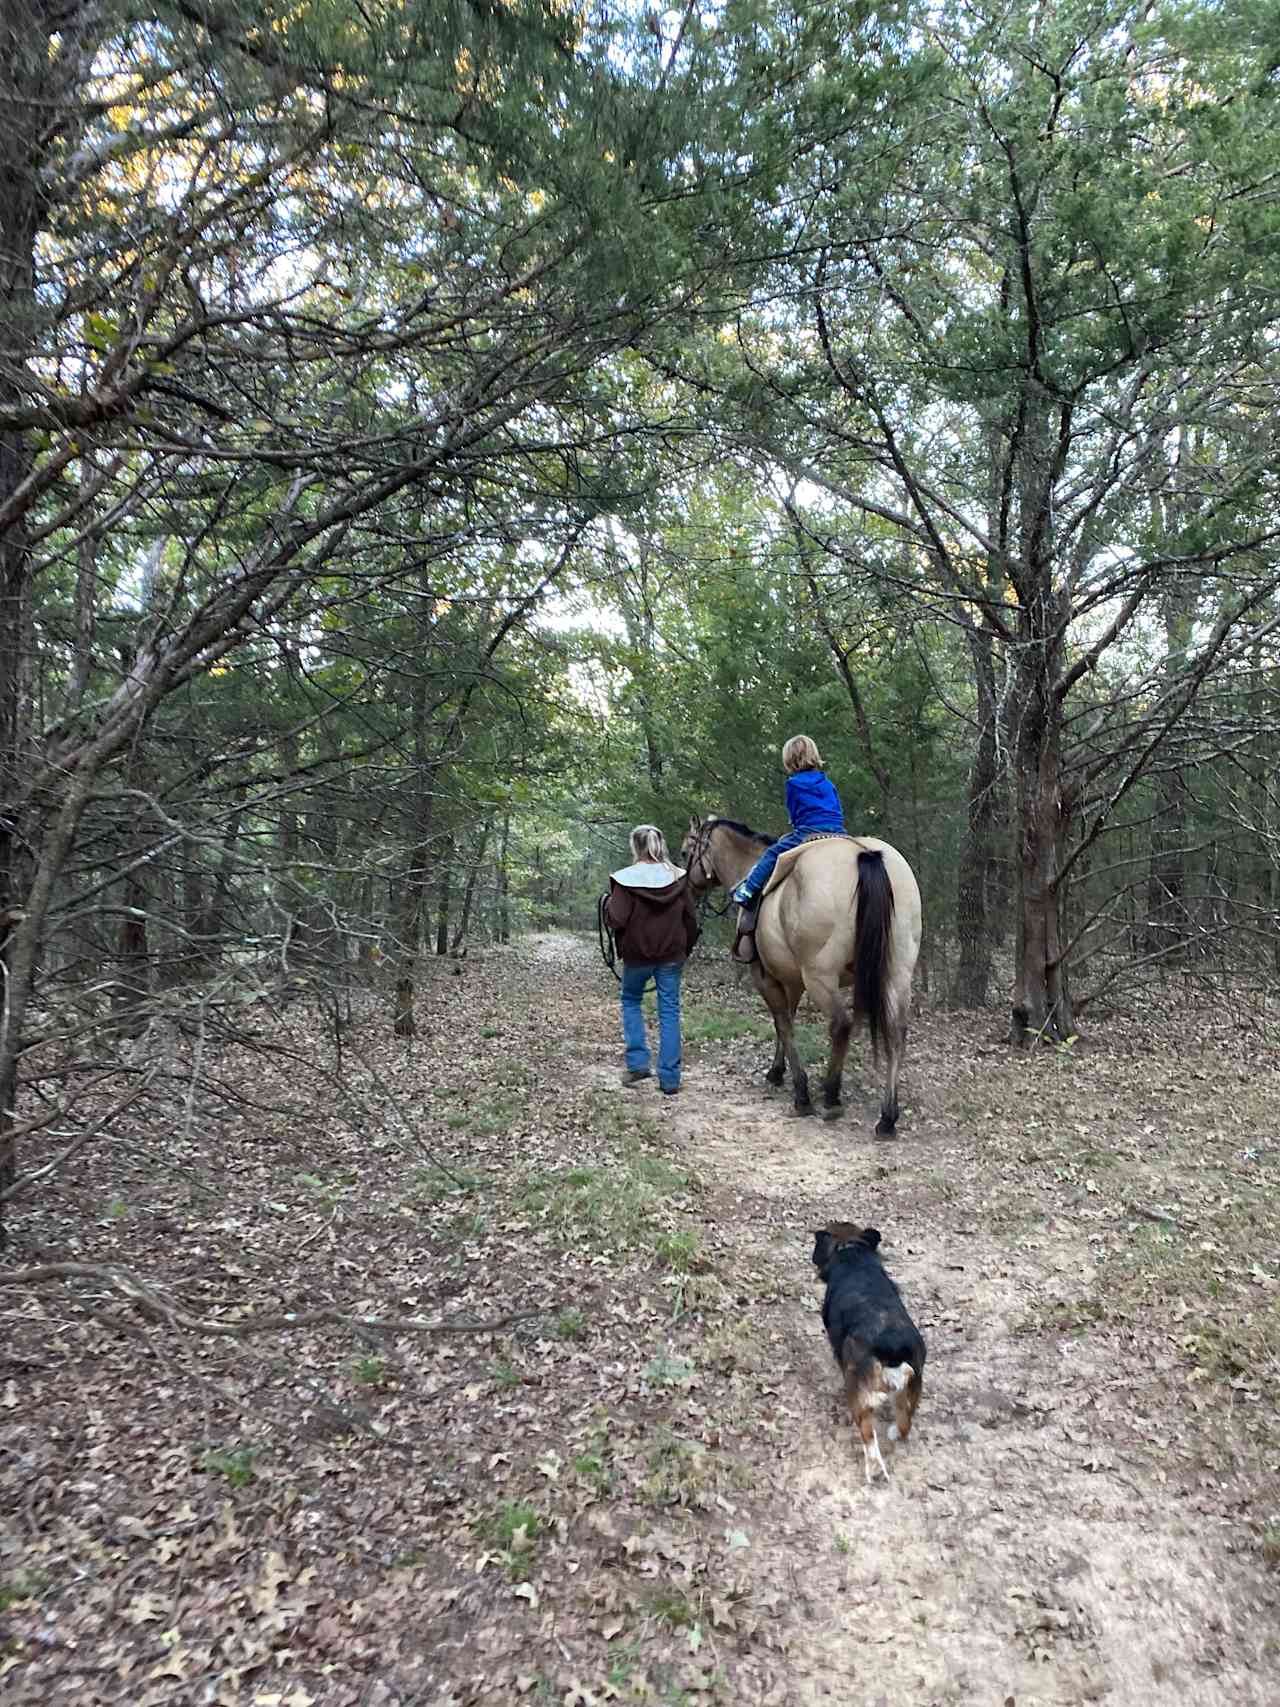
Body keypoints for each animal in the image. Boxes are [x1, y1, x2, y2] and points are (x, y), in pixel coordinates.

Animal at [682, 812, 921, 1133]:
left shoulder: (767, 977)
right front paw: (777, 1070)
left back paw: (831, 1095)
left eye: (685, 852)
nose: (685, 891)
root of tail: (865, 855)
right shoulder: (791, 979)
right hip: (897, 973)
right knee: (896, 1032)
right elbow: (788, 1020)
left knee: (841, 1025)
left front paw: (799, 1090)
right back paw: (887, 1116)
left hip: (820, 976)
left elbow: (783, 1023)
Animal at [815, 1229, 928, 1481]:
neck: (852, 1252)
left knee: (869, 1438)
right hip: (914, 1383)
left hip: (860, 1395)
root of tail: (891, 1344)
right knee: (905, 1420)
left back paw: (873, 1469)